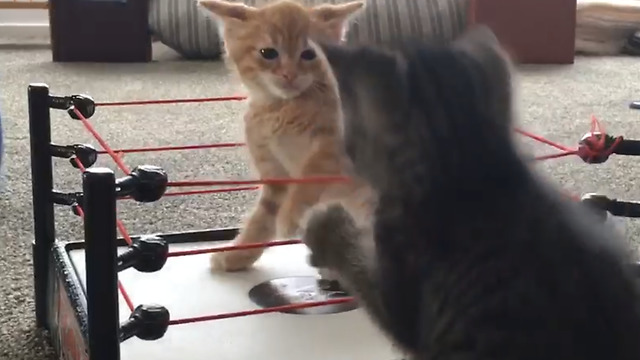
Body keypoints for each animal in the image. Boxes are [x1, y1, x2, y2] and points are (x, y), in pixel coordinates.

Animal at [199, 0, 370, 272]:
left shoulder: (340, 151)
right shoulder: (275, 177)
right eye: (268, 53)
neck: (284, 109)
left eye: (309, 54)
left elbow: (310, 176)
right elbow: (262, 220)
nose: (289, 74)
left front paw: (289, 217)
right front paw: (236, 256)